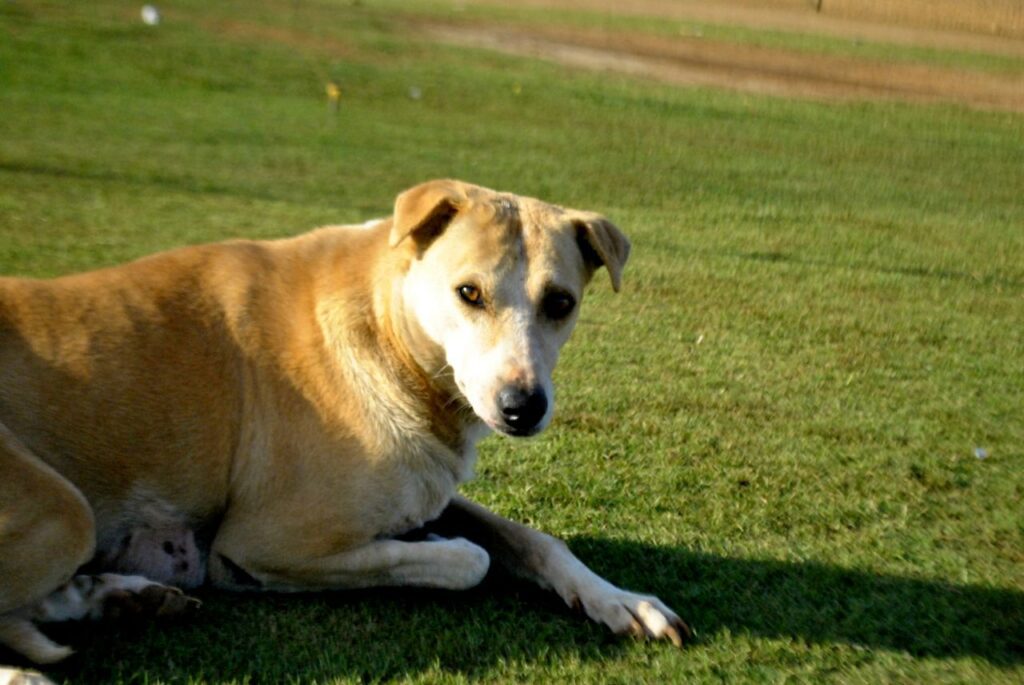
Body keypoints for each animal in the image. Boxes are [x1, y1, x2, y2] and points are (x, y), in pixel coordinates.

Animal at [0, 178, 692, 663]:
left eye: (561, 303)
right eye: (469, 293)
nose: (522, 407)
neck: (388, 328)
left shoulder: (426, 485)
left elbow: (534, 538)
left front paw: (621, 601)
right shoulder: (264, 541)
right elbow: (468, 559)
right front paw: (431, 546)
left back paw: (118, 596)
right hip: (64, 510)